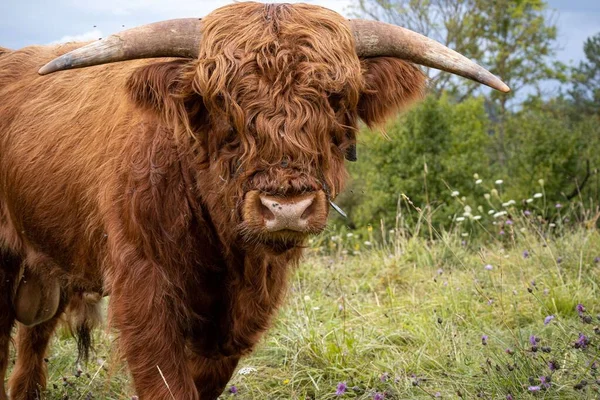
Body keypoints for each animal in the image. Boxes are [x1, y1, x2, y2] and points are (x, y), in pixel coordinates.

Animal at [0, 1, 506, 398]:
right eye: (220, 100)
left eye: (336, 96)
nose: (286, 209)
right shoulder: (144, 290)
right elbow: (168, 384)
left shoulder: (240, 317)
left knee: (32, 349)